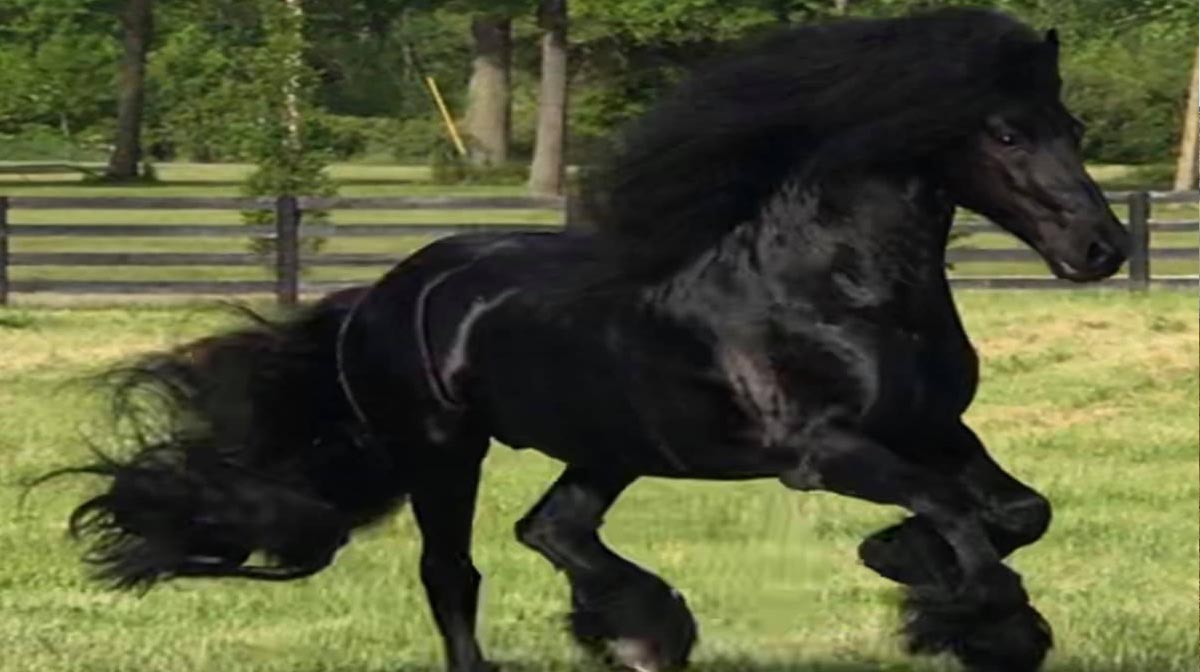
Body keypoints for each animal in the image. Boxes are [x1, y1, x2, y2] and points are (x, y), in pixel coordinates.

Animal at [54, 9, 1123, 672]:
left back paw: (645, 631)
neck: (836, 287)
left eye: (1070, 126)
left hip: (610, 444)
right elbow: (954, 513)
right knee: (456, 571)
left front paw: (916, 571)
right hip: (445, 452)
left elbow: (1014, 511)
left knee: (552, 528)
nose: (1101, 248)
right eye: (1007, 135)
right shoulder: (822, 453)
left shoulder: (938, 429)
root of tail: (384, 293)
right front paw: (981, 613)